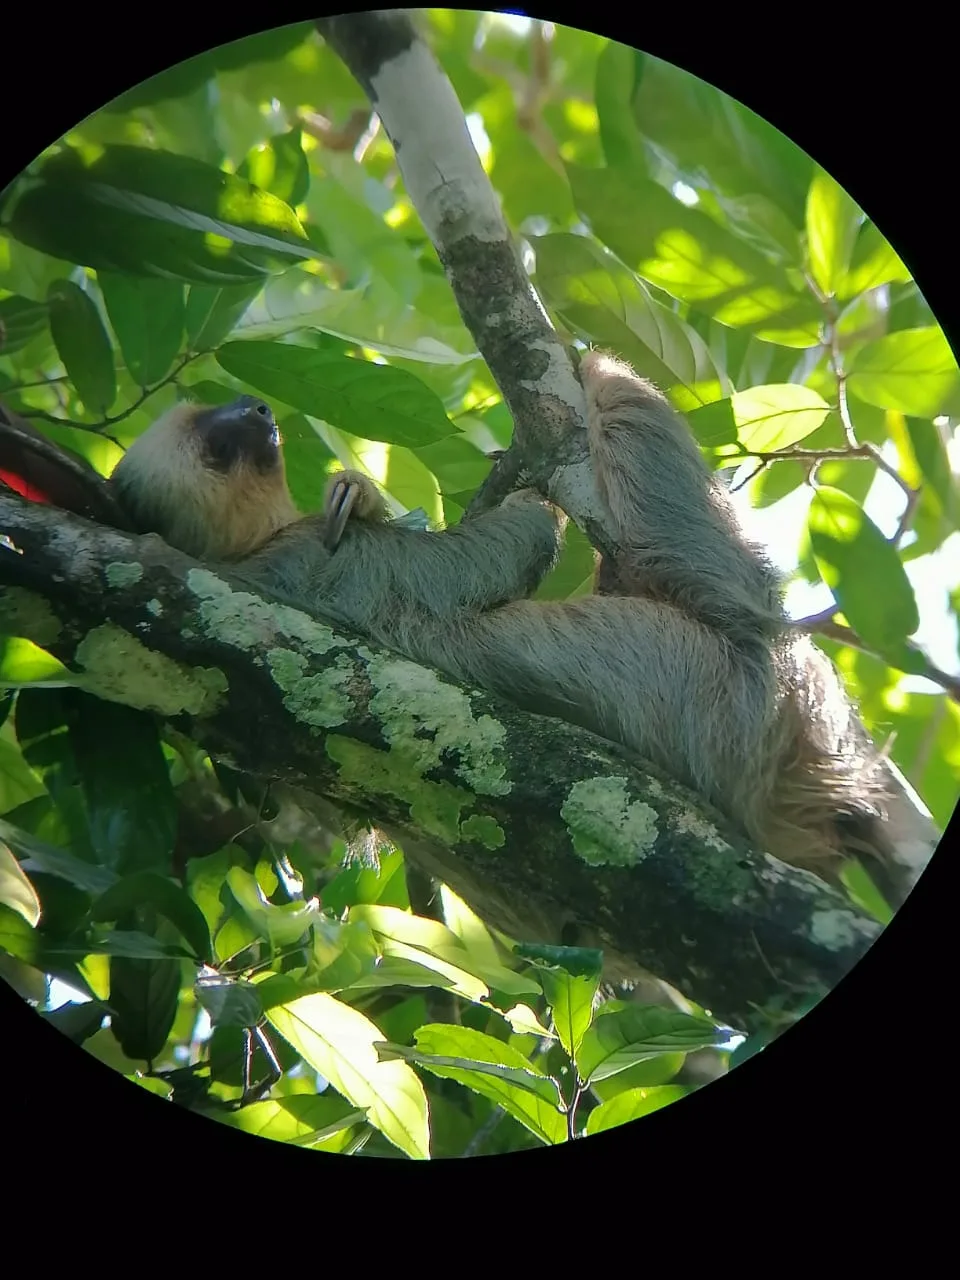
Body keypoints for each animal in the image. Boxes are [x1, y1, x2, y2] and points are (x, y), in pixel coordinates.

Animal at [102, 352, 906, 909]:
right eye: (218, 445)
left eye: (216, 412)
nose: (255, 408)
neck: (251, 555)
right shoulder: (343, 563)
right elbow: (507, 545)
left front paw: (359, 488)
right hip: (745, 689)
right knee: (705, 553)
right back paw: (602, 375)